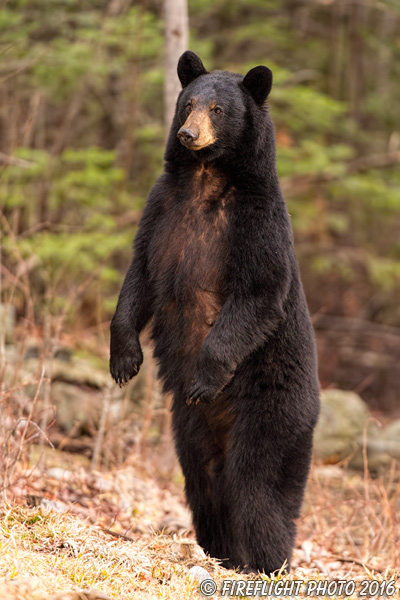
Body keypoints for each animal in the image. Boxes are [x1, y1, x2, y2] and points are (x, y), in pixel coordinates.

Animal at [110, 50, 322, 572]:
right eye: (188, 103)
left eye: (219, 110)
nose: (189, 134)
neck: (206, 178)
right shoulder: (161, 210)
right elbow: (140, 274)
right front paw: (124, 359)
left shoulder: (257, 223)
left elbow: (259, 293)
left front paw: (204, 376)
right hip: (188, 428)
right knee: (206, 482)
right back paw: (220, 551)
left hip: (272, 410)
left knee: (258, 487)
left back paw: (264, 562)